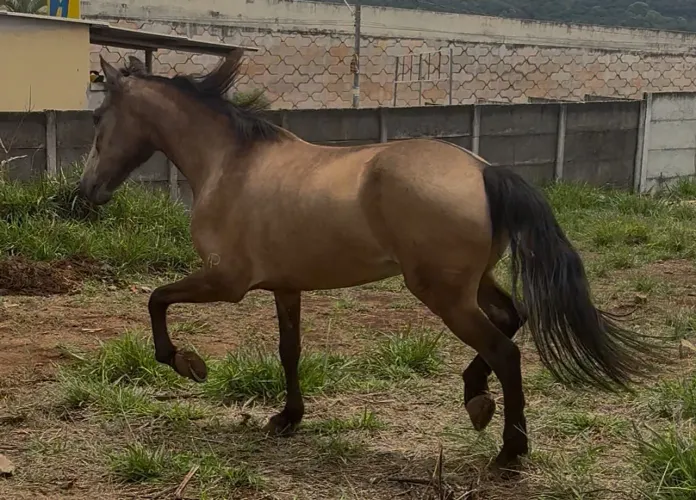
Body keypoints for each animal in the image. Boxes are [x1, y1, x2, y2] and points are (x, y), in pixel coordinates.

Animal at [79, 50, 658, 470]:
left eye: (98, 116)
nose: (87, 191)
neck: (230, 164)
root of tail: (483, 171)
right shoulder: (285, 287)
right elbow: (289, 352)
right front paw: (287, 418)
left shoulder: (227, 281)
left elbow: (156, 301)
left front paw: (187, 363)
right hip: (472, 284)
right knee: (512, 317)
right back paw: (477, 401)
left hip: (442, 294)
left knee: (504, 350)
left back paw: (509, 452)